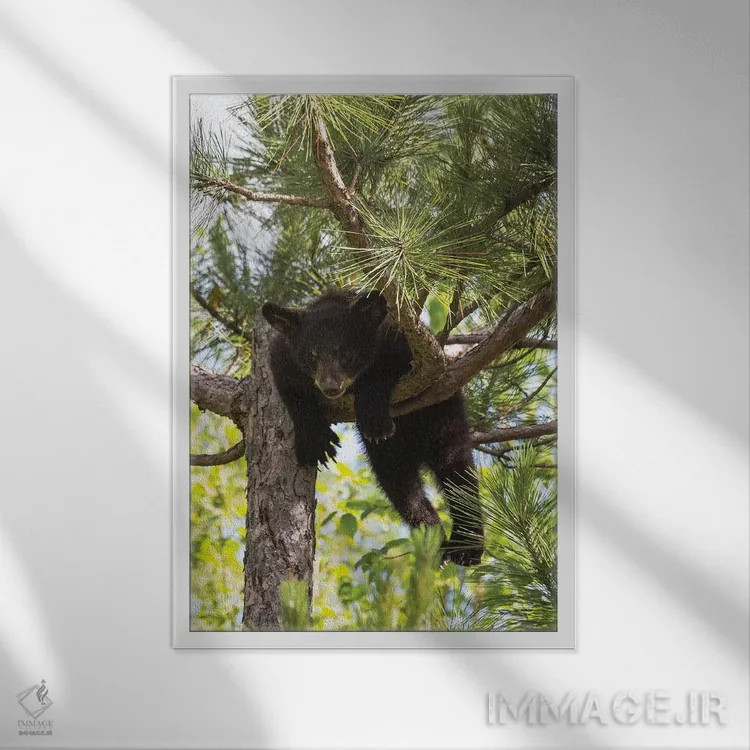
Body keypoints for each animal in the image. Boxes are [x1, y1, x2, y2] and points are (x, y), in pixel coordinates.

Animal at [261, 288, 484, 566]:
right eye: (312, 356)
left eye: (347, 354)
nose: (330, 387)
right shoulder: (284, 355)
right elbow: (290, 387)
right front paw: (315, 441)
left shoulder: (401, 342)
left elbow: (389, 372)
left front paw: (373, 415)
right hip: (389, 455)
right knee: (400, 484)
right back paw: (433, 536)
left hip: (442, 414)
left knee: (456, 469)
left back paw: (467, 548)